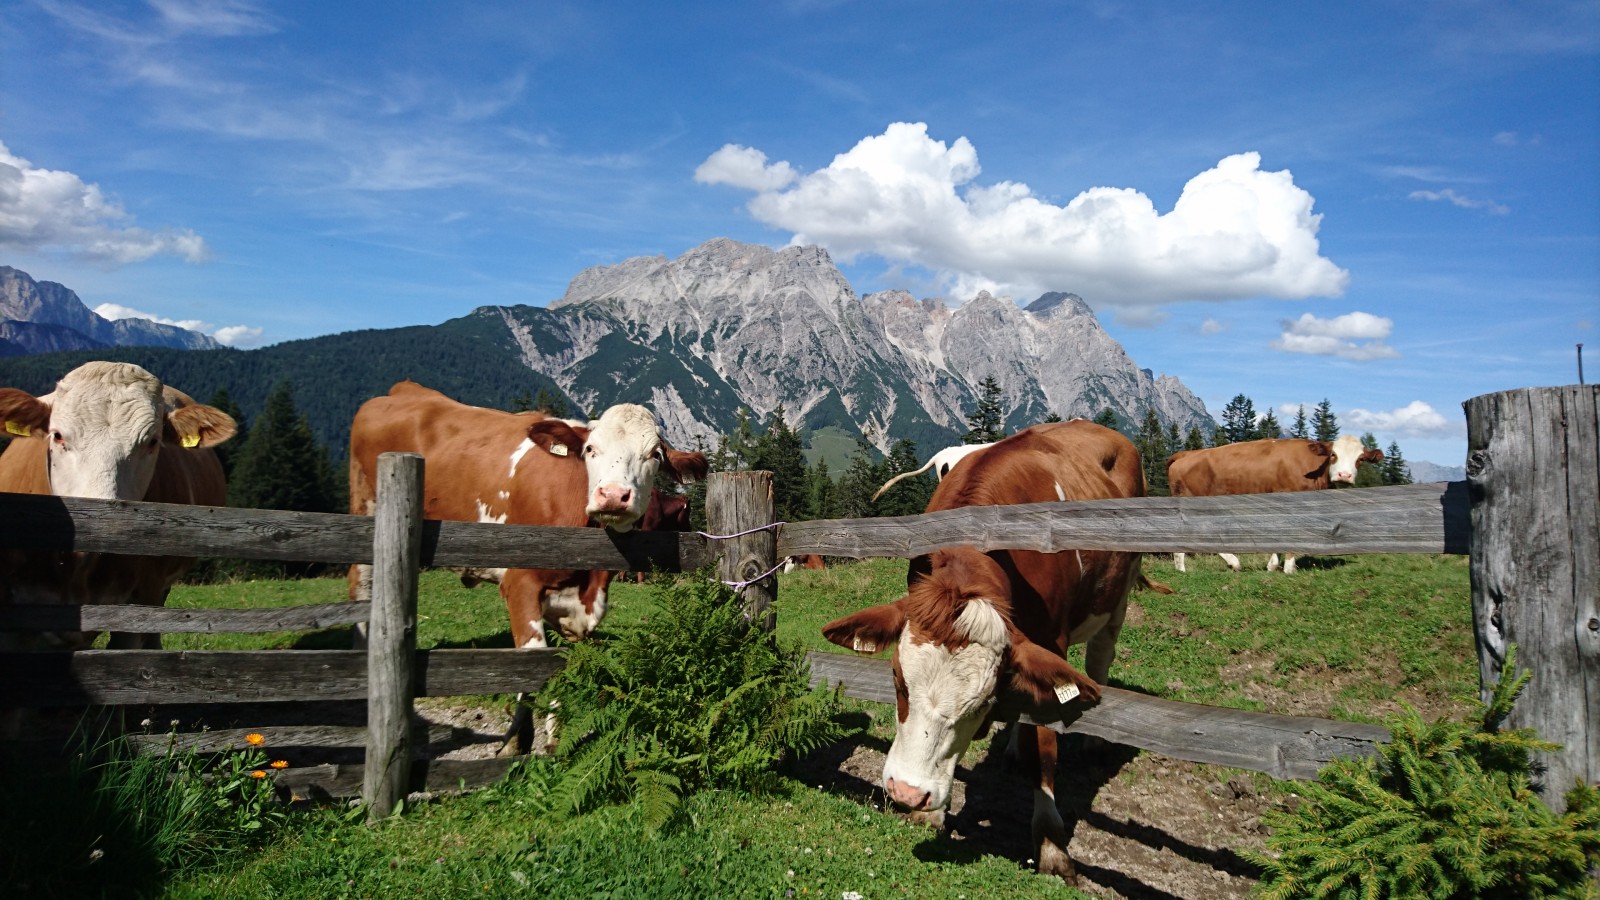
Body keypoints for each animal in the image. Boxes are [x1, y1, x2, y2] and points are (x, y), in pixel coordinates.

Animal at [350, 377, 707, 643]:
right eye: (590, 449)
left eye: (655, 454)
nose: (613, 495)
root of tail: (404, 389)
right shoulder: (519, 582)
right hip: (366, 507)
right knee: (360, 582)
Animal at [825, 419, 1152, 877]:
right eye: (896, 678)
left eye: (982, 702)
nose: (907, 793)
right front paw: (931, 813)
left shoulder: (1051, 642)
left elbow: (1045, 748)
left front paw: (1051, 842)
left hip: (1119, 592)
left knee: (1101, 655)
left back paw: (1092, 743)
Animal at [1164, 435, 1388, 573]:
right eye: (1334, 454)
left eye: (1360, 459)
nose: (1344, 475)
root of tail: (1187, 453)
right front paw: (1288, 567)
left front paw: (1273, 565)